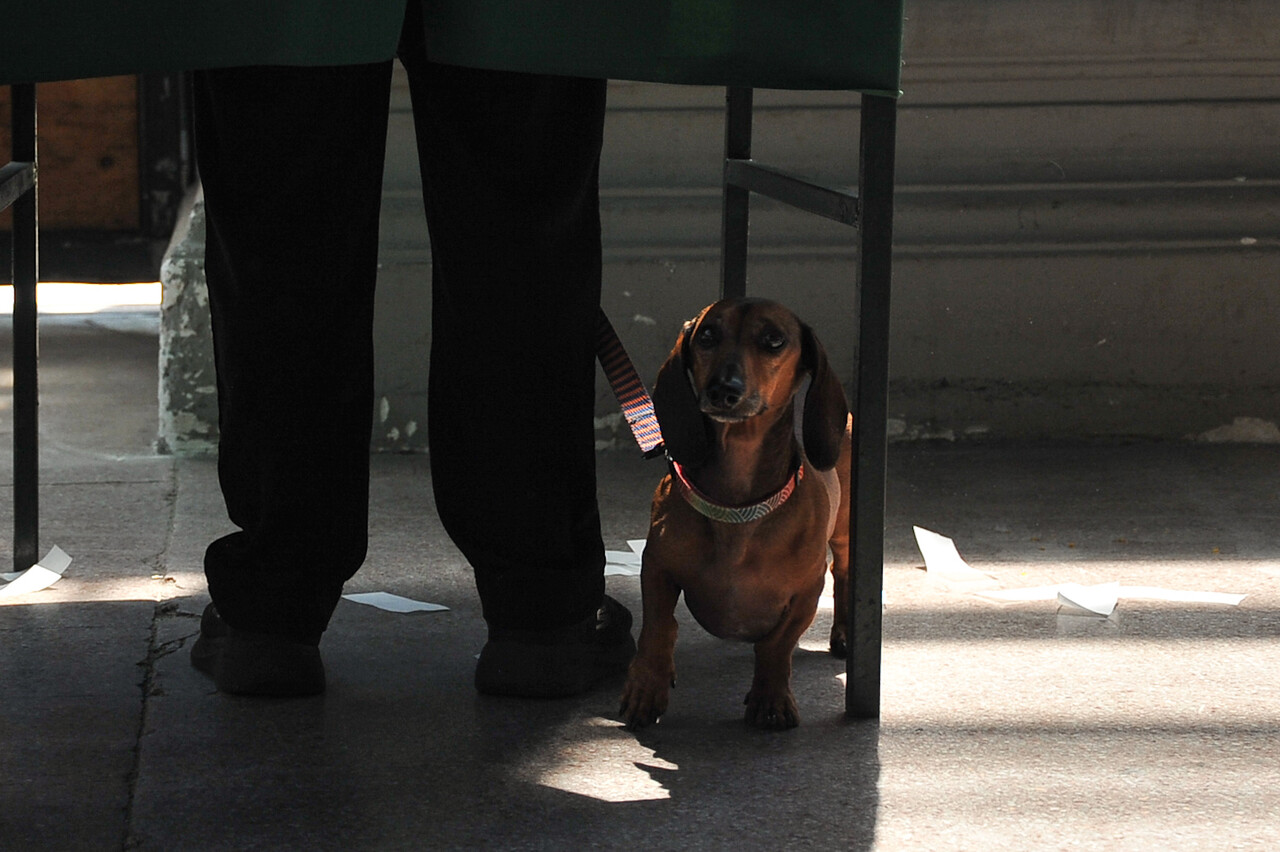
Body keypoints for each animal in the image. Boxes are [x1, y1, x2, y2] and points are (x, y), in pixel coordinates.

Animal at [619, 298, 849, 731]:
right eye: (708, 335)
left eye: (774, 340)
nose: (723, 390)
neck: (737, 508)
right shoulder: (656, 567)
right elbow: (659, 627)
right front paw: (646, 687)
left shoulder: (806, 594)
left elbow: (776, 646)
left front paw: (771, 698)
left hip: (844, 533)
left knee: (842, 573)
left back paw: (844, 631)